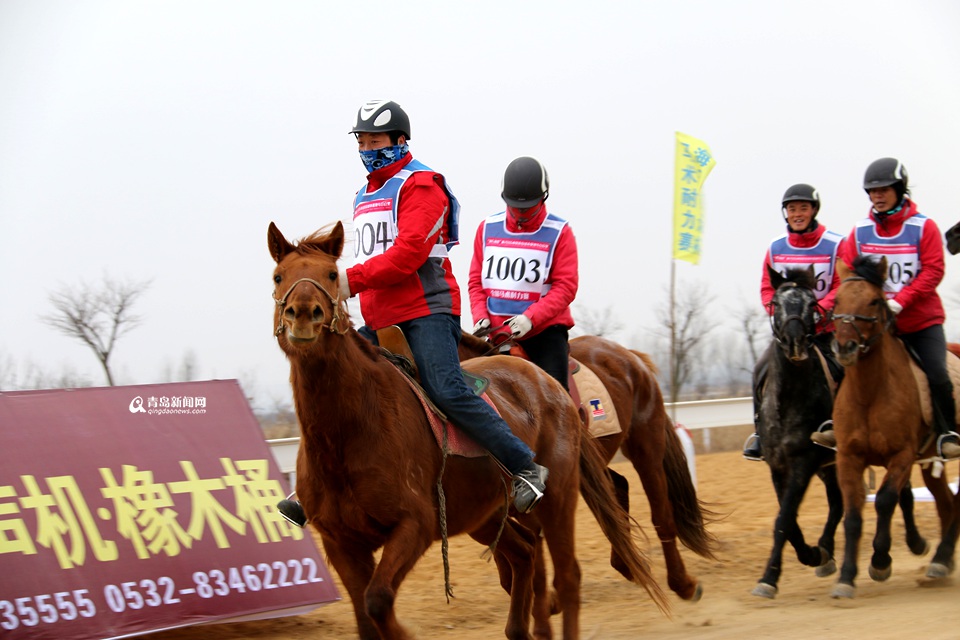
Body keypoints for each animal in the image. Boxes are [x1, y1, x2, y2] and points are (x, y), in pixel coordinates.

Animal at [266, 221, 664, 640]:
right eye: (278, 276)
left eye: (331, 274)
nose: (303, 314)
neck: (347, 434)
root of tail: (546, 380)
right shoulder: (341, 543)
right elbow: (364, 615)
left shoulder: (414, 527)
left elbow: (377, 600)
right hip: (487, 516)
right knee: (525, 553)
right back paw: (520, 628)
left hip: (558, 497)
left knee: (568, 575)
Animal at [460, 336, 720, 616]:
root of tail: (629, 355)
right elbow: (508, 559)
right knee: (619, 488)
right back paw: (629, 564)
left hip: (646, 447)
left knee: (661, 514)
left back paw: (682, 583)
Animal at [828, 256, 956, 600]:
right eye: (837, 300)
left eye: (874, 300)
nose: (845, 348)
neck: (869, 393)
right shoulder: (848, 457)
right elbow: (853, 515)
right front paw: (846, 578)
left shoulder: (901, 455)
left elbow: (886, 501)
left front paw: (881, 561)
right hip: (929, 464)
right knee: (948, 503)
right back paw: (942, 563)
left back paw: (940, 560)